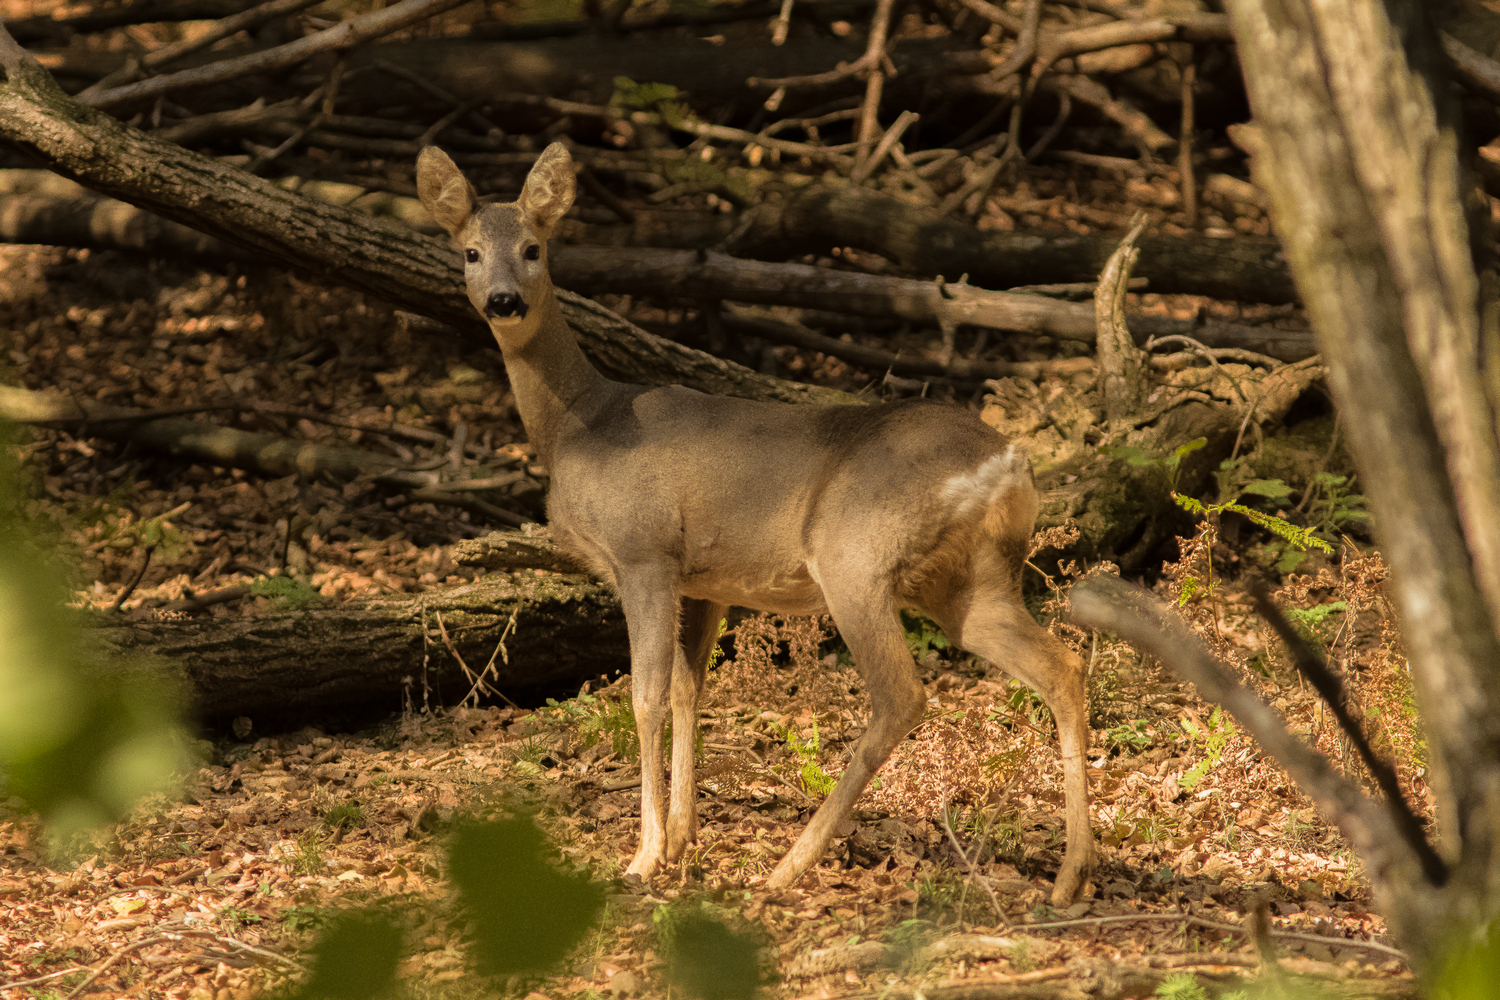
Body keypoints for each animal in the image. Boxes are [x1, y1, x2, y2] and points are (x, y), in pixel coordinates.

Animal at [417, 142, 1098, 905]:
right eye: (471, 251)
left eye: (534, 248)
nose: (504, 300)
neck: (582, 426)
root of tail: (1008, 462)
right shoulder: (702, 581)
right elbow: (689, 691)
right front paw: (681, 841)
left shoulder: (643, 551)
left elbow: (644, 696)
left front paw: (644, 857)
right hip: (967, 581)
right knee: (1061, 665)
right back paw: (1070, 876)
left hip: (854, 556)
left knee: (902, 695)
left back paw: (788, 865)